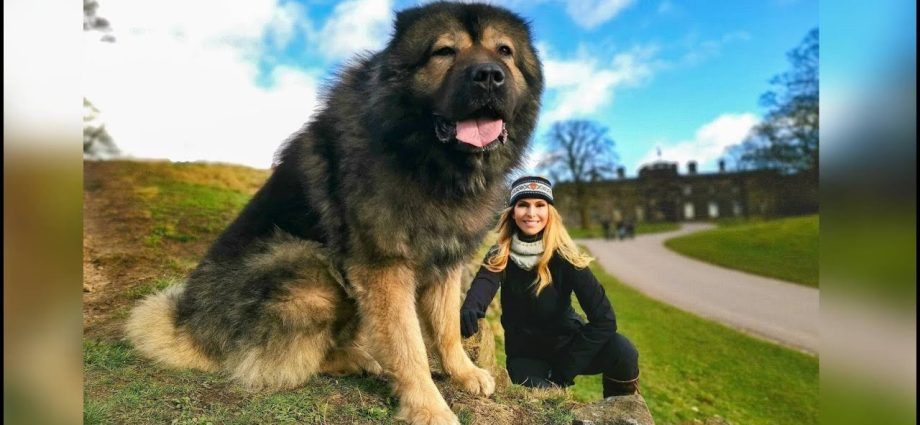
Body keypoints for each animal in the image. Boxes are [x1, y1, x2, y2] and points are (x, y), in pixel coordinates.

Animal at [126, 1, 544, 422]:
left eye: (504, 51)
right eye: (444, 51)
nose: (488, 76)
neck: (427, 161)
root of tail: (188, 327)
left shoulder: (447, 259)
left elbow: (445, 328)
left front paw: (463, 373)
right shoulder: (384, 268)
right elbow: (409, 346)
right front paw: (429, 408)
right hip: (308, 268)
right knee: (296, 358)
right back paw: (355, 359)